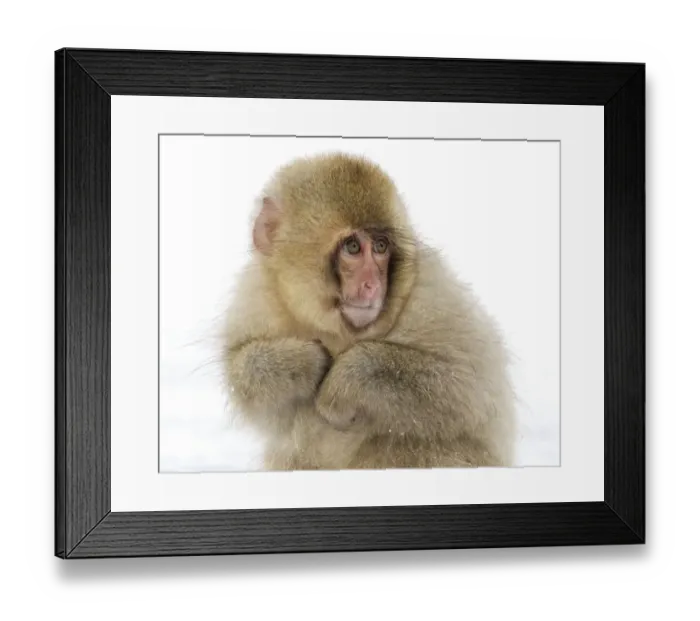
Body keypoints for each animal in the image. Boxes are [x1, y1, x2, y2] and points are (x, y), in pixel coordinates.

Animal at [221, 152, 516, 471]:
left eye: (380, 246)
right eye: (352, 247)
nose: (373, 285)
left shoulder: (431, 297)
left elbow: (473, 388)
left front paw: (347, 379)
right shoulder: (261, 294)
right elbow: (240, 370)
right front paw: (304, 363)